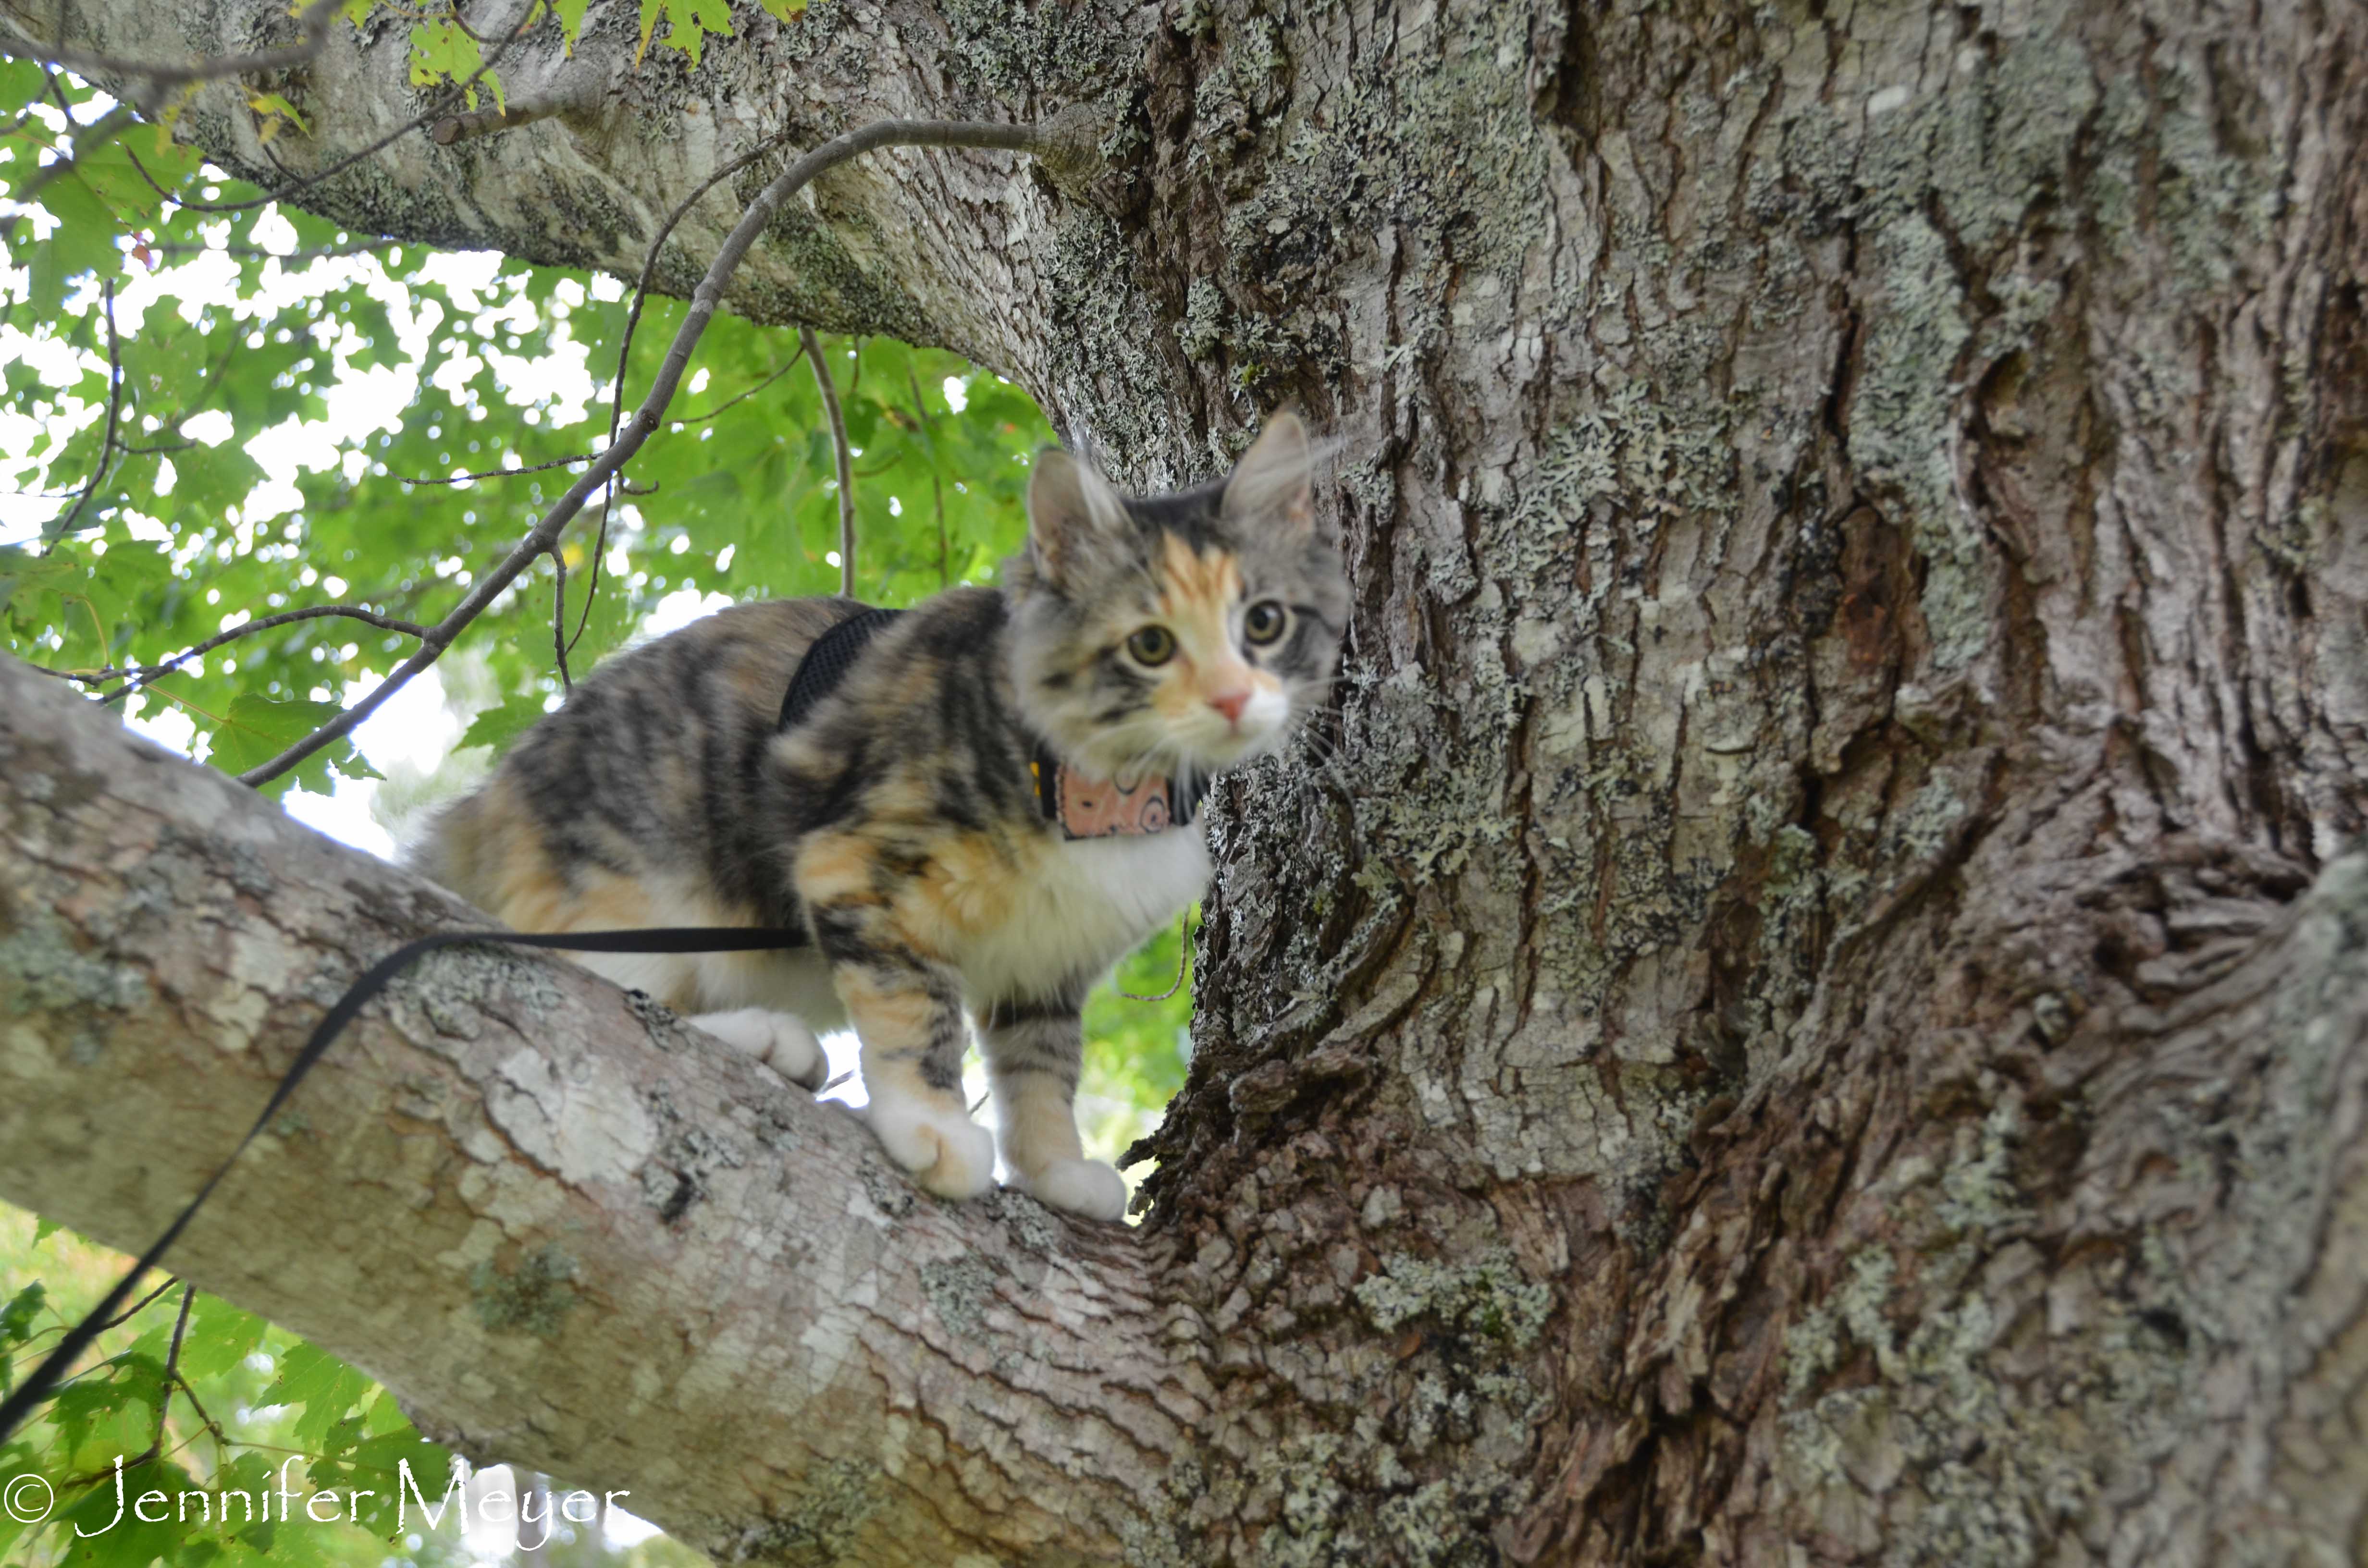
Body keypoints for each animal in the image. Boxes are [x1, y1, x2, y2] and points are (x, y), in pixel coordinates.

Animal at [407, 416, 1354, 1231]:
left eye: (1263, 623)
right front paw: (932, 1128)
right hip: (641, 898)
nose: (1232, 698)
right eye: (1151, 645)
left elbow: (1041, 1070)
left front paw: (1054, 1169)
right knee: (605, 991)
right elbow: (919, 1019)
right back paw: (768, 1037)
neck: (1094, 790)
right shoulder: (859, 868)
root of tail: (486, 799)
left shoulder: (1047, 963)